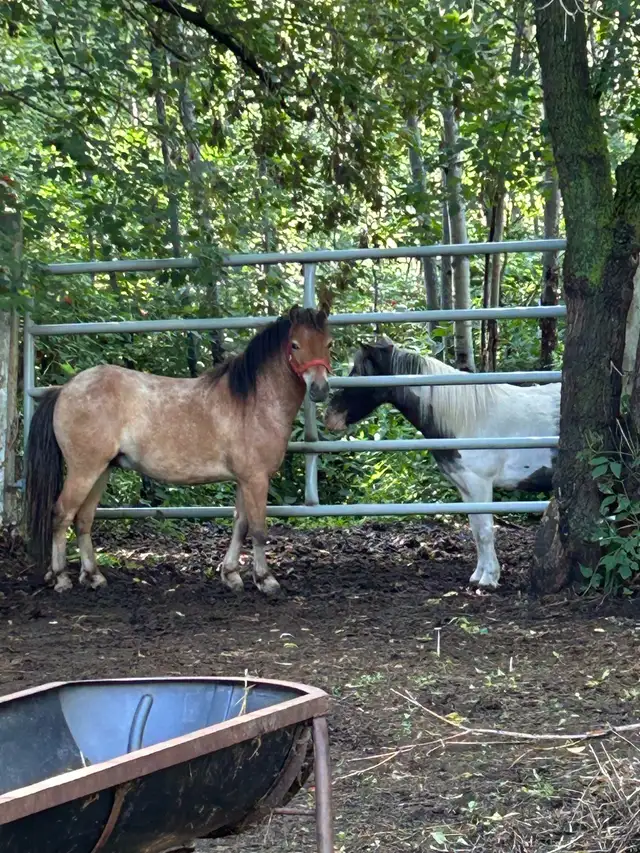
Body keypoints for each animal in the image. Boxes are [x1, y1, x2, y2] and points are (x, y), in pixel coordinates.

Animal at [25, 306, 332, 595]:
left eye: (328, 343)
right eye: (295, 345)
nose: (319, 389)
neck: (253, 401)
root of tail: (64, 389)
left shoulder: (244, 480)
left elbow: (240, 526)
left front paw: (231, 575)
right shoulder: (256, 479)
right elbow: (258, 530)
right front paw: (265, 580)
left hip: (101, 471)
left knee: (83, 519)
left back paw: (93, 576)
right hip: (84, 470)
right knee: (61, 514)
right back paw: (61, 578)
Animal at [324, 336, 560, 590]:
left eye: (359, 373)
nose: (330, 417)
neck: (469, 418)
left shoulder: (480, 484)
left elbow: (486, 531)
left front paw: (489, 579)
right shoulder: (465, 487)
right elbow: (476, 529)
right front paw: (478, 575)